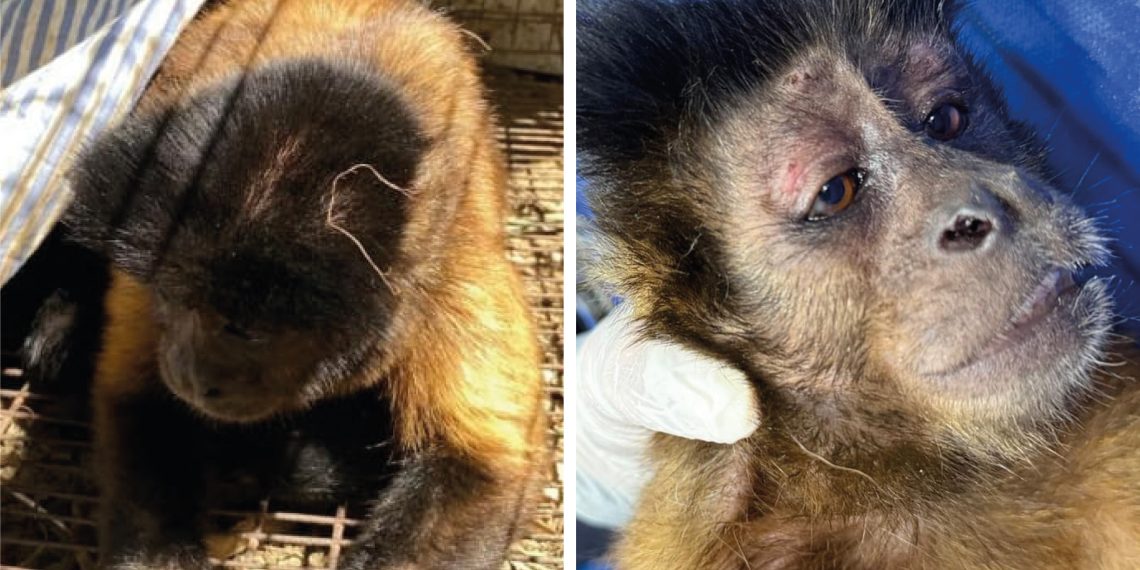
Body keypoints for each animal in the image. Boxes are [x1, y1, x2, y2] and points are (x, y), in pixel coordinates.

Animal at [53, 0, 545, 568]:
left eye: (247, 331)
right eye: (175, 302)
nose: (191, 376)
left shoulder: (454, 277)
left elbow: (488, 464)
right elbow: (136, 401)